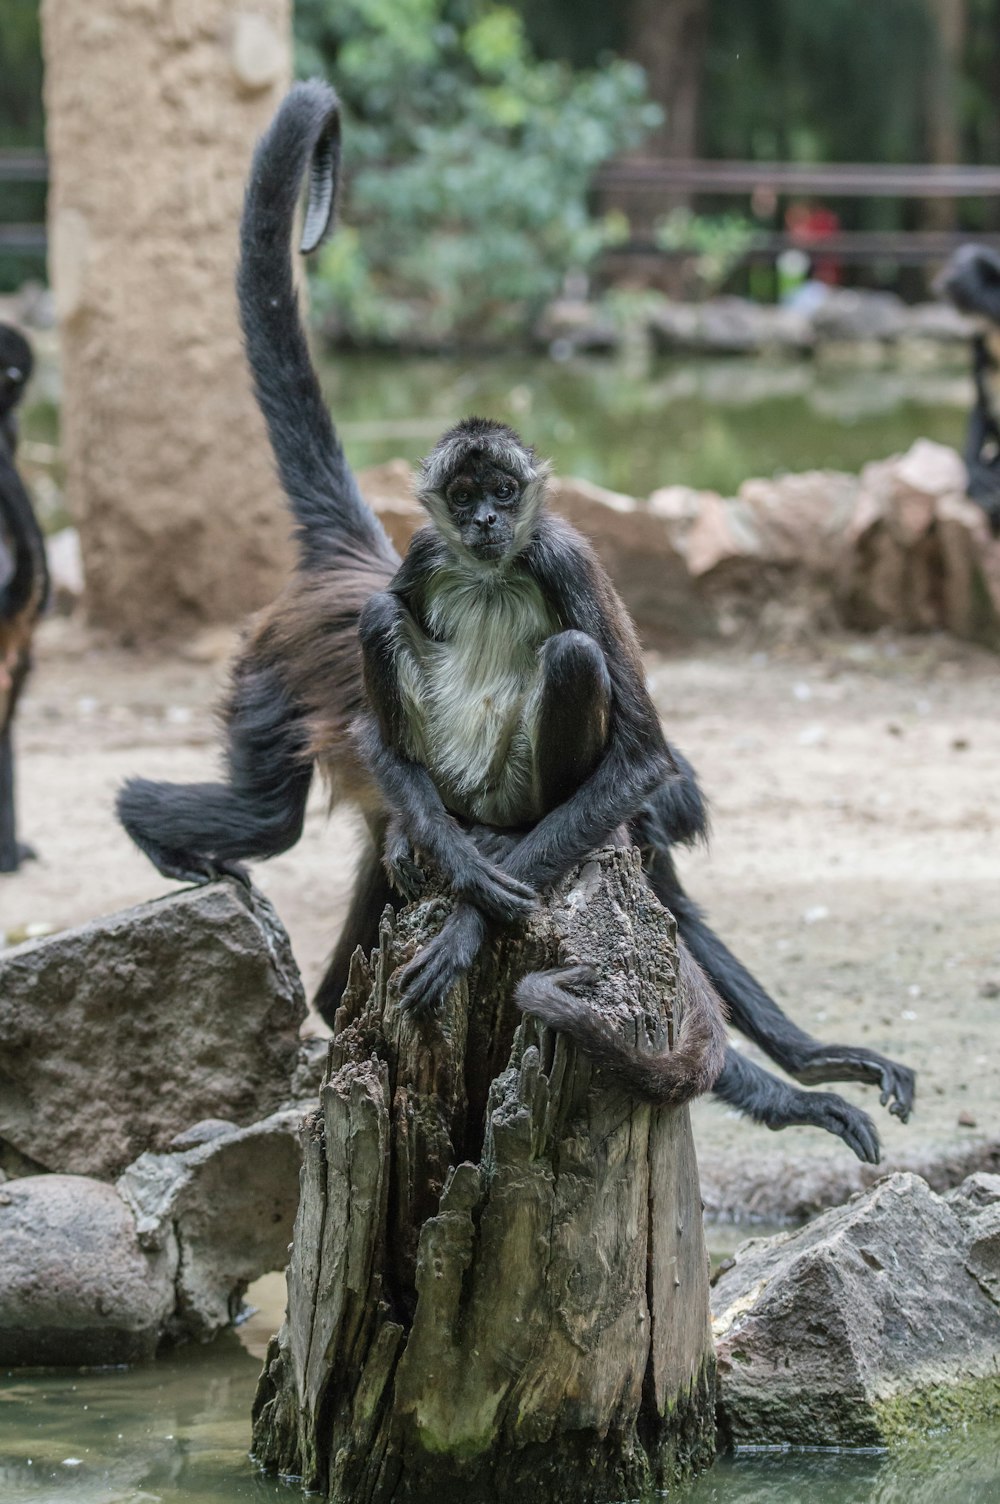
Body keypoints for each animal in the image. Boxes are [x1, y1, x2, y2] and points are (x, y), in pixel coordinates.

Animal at [117, 82, 914, 1155]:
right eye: (476, 495)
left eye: (503, 492)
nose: (490, 515)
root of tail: (351, 562)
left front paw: (817, 1064)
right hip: (271, 684)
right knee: (276, 806)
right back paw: (162, 828)